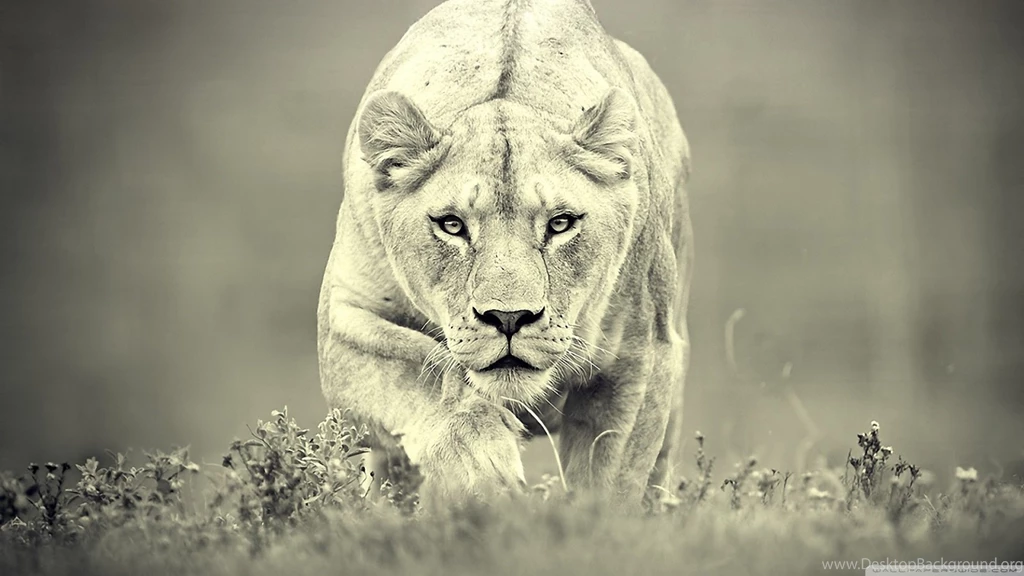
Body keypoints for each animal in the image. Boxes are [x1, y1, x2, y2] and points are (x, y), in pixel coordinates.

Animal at [317, 0, 693, 508]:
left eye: (560, 223)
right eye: (452, 225)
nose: (509, 318)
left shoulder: (641, 355)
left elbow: (609, 482)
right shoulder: (343, 322)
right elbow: (423, 372)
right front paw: (485, 473)